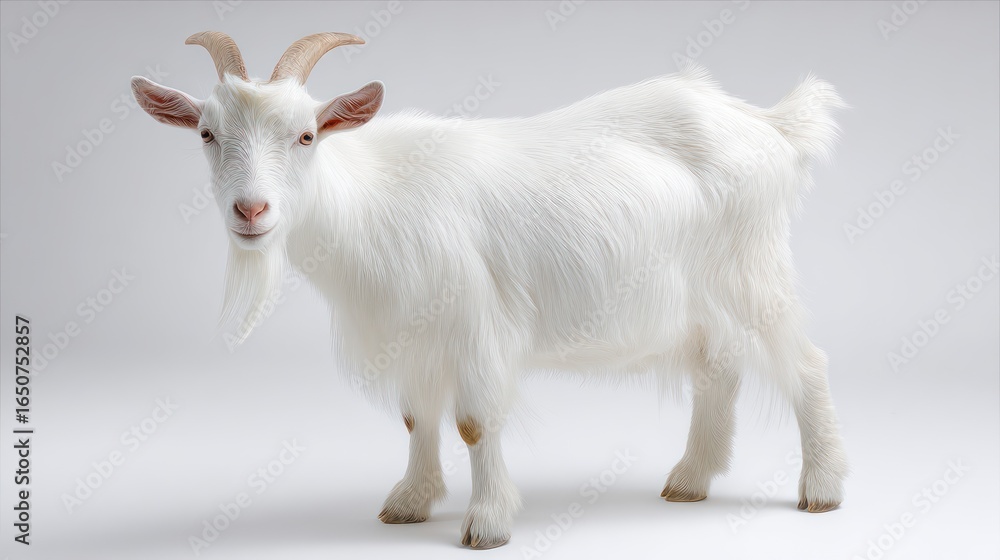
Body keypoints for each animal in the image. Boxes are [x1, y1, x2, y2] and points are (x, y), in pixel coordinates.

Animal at [132, 31, 849, 549]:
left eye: (306, 135)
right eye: (207, 134)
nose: (251, 211)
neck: (369, 197)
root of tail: (767, 123)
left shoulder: (475, 321)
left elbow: (475, 423)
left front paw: (488, 524)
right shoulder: (413, 330)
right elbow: (417, 416)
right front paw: (410, 502)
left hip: (753, 272)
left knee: (807, 364)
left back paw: (822, 489)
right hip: (702, 298)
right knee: (717, 369)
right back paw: (691, 479)